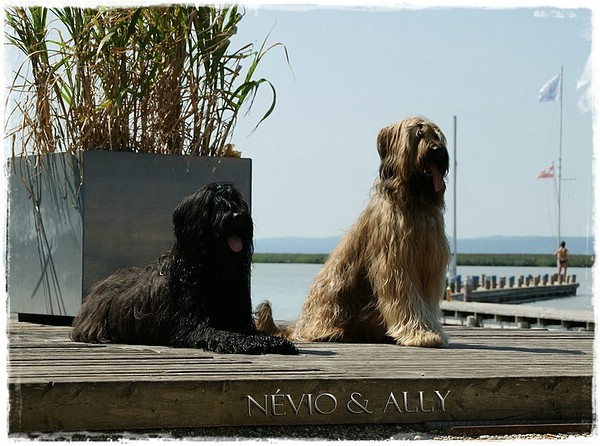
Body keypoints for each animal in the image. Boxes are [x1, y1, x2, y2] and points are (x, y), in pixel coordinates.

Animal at [69, 181, 298, 356]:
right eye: (217, 205)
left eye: (237, 201)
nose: (238, 216)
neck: (213, 269)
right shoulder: (191, 327)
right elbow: (222, 334)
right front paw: (251, 343)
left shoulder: (238, 318)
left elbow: (253, 331)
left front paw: (275, 341)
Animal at [256, 116, 450, 346]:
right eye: (419, 135)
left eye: (436, 135)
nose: (438, 150)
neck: (414, 201)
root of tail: (298, 327)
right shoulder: (396, 265)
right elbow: (408, 299)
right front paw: (421, 334)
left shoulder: (431, 265)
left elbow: (426, 303)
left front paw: (431, 331)